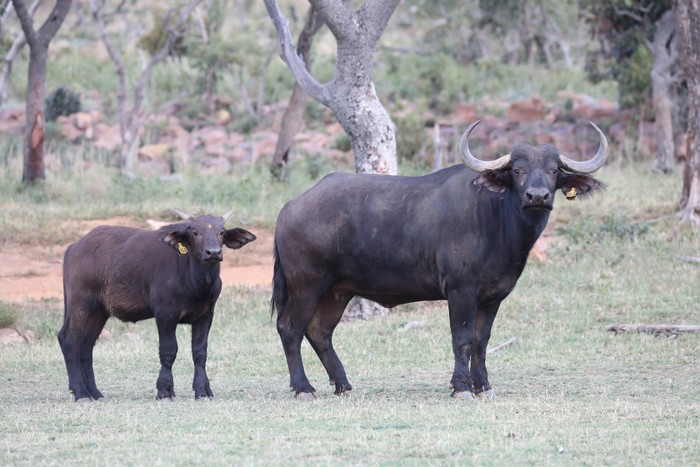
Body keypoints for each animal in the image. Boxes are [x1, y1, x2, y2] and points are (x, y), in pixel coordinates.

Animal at [58, 210, 256, 401]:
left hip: (99, 311)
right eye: (195, 232)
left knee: (86, 345)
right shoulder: (165, 314)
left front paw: (203, 391)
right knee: (68, 339)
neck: (195, 284)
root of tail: (74, 248)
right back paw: (80, 393)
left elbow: (200, 352)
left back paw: (95, 393)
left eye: (221, 232)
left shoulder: (206, 315)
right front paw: (165, 391)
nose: (213, 252)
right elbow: (168, 351)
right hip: (81, 304)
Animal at [271, 120, 608, 400]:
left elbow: (482, 341)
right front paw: (461, 387)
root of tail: (289, 207)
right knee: (290, 329)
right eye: (517, 170)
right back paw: (303, 388)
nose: (537, 196)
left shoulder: (493, 297)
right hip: (306, 285)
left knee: (319, 331)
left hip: (337, 291)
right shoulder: (461, 292)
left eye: (554, 170)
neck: (497, 221)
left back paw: (343, 384)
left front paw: (483, 385)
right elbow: (462, 339)